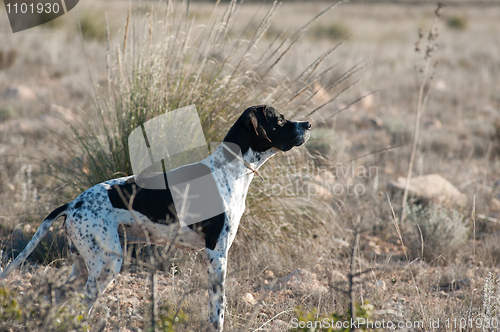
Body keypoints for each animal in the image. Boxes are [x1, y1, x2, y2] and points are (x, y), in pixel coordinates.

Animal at [0, 105, 310, 330]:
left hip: (85, 268)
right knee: (79, 308)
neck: (229, 169)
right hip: (106, 265)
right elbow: (217, 311)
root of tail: (73, 203)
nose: (307, 124)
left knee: (55, 298)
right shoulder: (217, 256)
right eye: (279, 120)